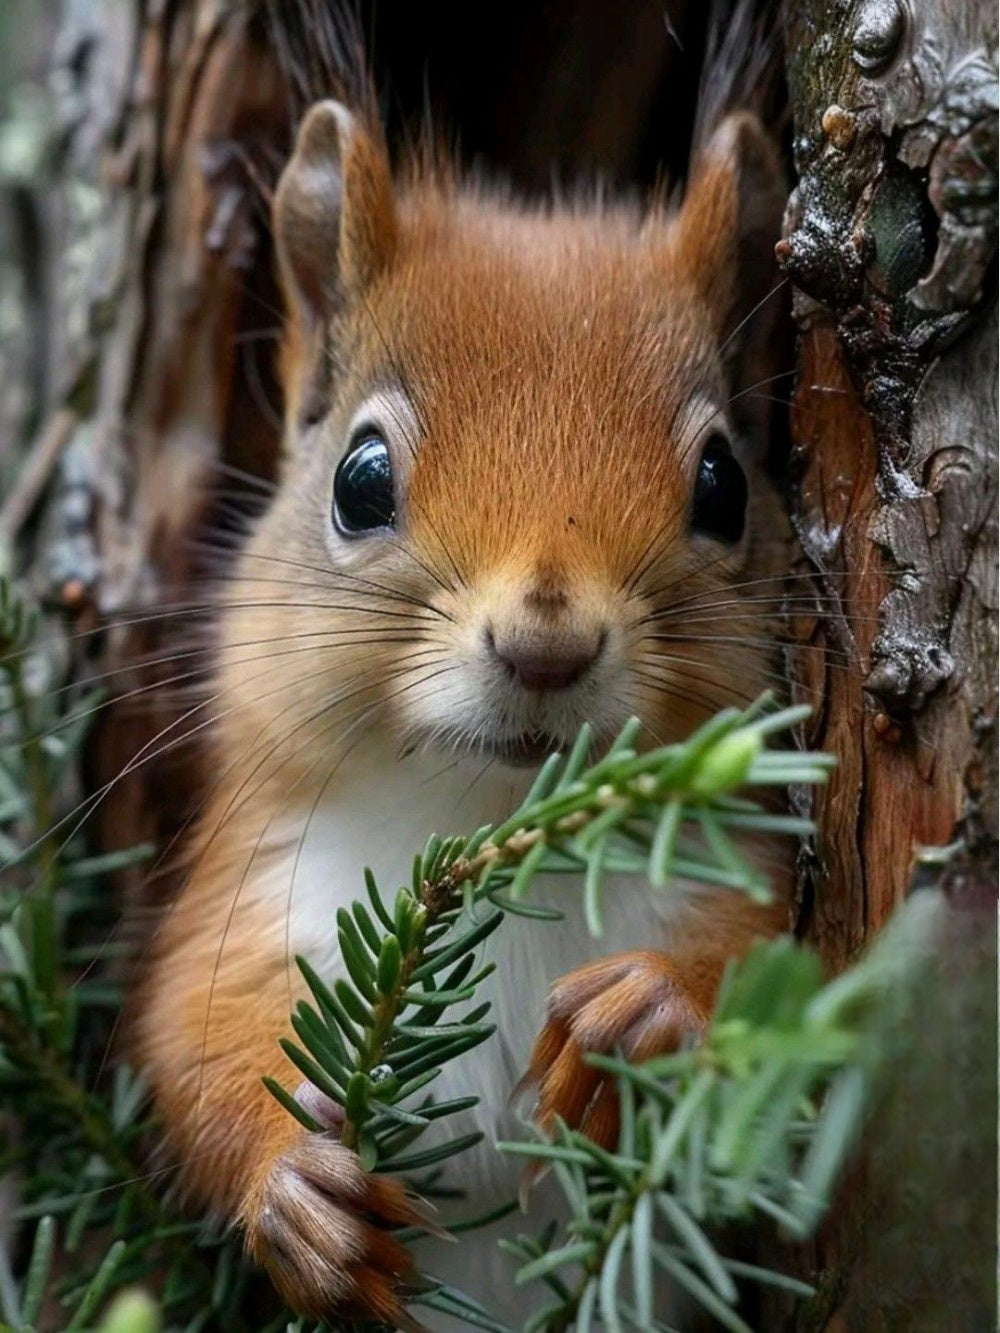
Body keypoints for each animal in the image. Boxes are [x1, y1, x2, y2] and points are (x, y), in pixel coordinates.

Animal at [135, 13, 792, 1328]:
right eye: (358, 479)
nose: (545, 645)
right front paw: (294, 1191)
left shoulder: (747, 875)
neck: (494, 830)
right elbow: (189, 1038)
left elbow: (800, 964)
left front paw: (648, 1007)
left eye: (724, 484)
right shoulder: (251, 890)